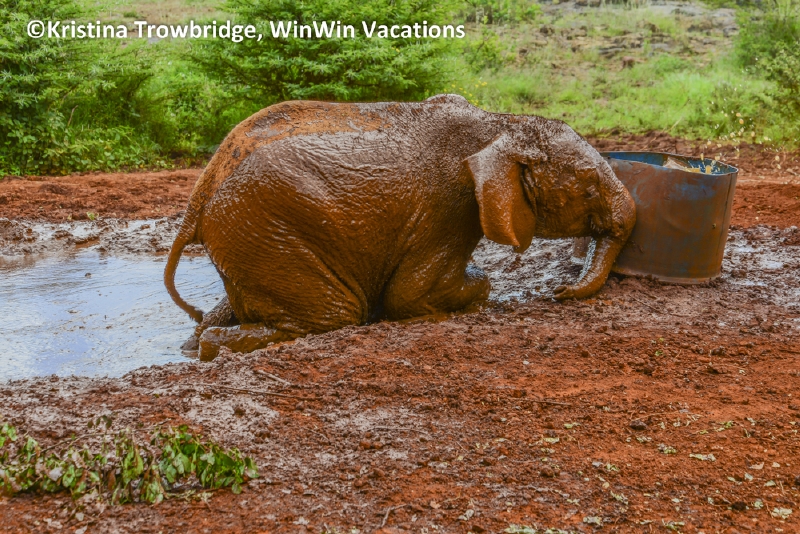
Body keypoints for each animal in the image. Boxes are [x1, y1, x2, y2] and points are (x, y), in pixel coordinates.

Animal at [165, 94, 636, 360]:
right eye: (589, 186)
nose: (560, 292)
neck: (501, 123)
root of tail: (197, 200)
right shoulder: (449, 209)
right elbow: (408, 296)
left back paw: (196, 342)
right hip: (265, 231)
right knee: (332, 316)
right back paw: (213, 347)